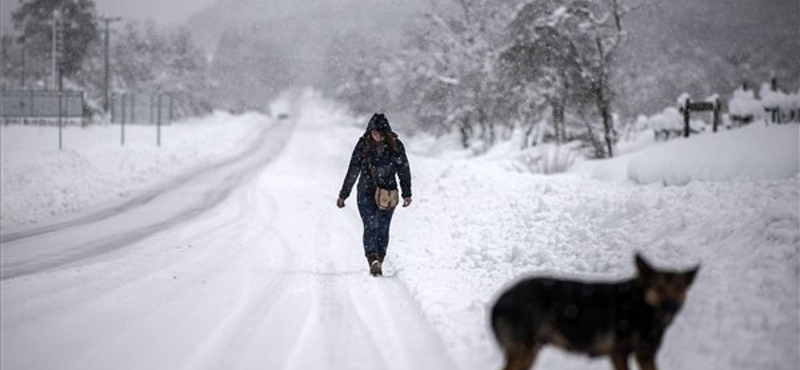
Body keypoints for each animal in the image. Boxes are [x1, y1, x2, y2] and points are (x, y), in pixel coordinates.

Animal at [490, 254, 696, 370]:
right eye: (658, 288)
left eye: (679, 289)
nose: (671, 306)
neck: (641, 307)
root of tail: (497, 302)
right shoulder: (618, 353)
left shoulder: (645, 356)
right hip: (523, 351)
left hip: (530, 351)